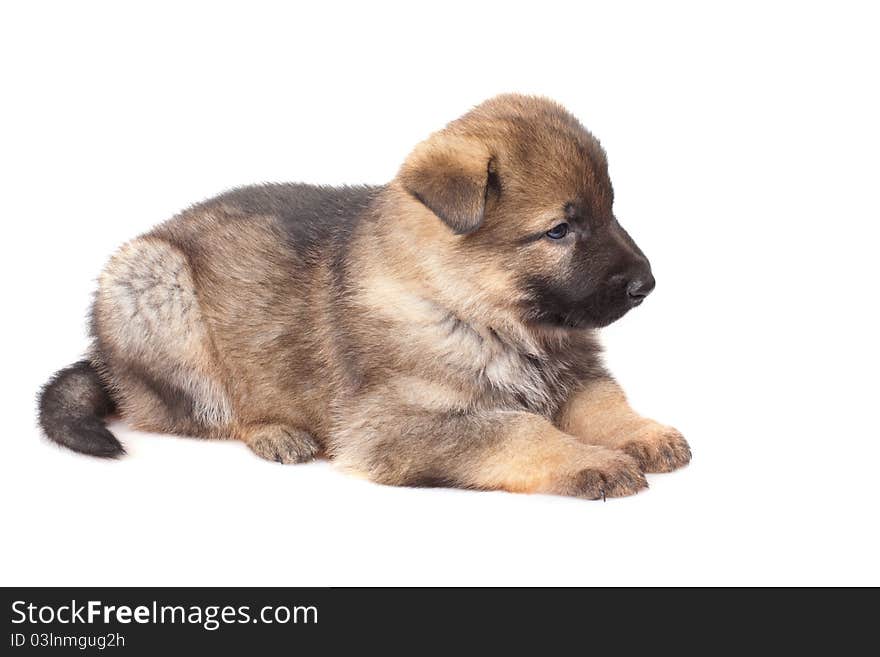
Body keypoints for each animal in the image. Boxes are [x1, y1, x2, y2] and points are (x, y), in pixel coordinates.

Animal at [39, 95, 688, 500]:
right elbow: (518, 430)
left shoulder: (574, 372)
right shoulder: (395, 426)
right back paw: (274, 432)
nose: (647, 284)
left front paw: (643, 433)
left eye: (610, 211)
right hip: (156, 287)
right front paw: (591, 460)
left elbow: (604, 403)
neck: (474, 311)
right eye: (559, 230)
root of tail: (103, 360)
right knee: (208, 411)